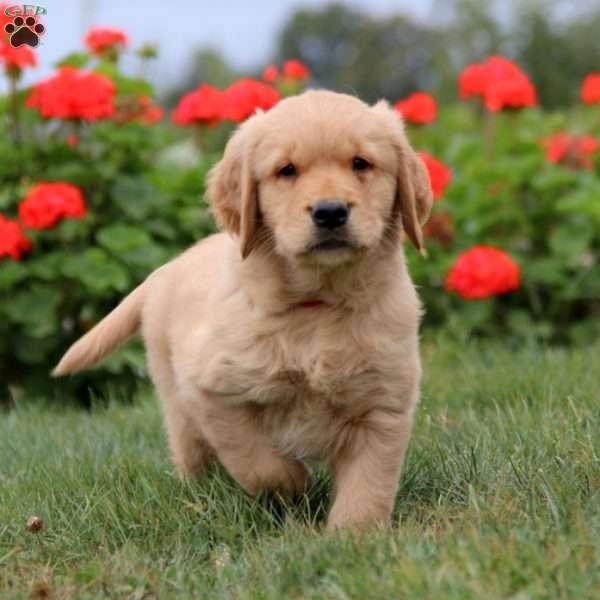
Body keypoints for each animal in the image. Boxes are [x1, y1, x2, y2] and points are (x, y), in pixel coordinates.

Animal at [55, 89, 432, 528]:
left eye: (361, 163)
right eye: (286, 171)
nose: (330, 211)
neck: (316, 305)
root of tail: (165, 269)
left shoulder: (383, 402)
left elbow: (369, 480)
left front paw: (354, 534)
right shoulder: (211, 390)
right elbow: (256, 460)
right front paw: (295, 485)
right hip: (175, 400)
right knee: (192, 453)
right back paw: (199, 495)